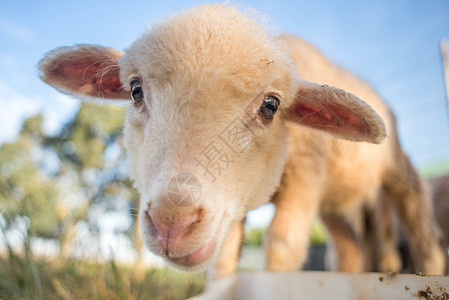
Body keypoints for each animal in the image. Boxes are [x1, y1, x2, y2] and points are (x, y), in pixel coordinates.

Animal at [36, 3, 444, 278]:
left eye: (270, 106)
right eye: (136, 91)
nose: (172, 223)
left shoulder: (306, 172)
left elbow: (283, 242)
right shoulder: (235, 203)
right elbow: (227, 254)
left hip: (396, 165)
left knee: (415, 213)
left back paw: (432, 267)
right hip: (335, 201)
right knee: (347, 250)